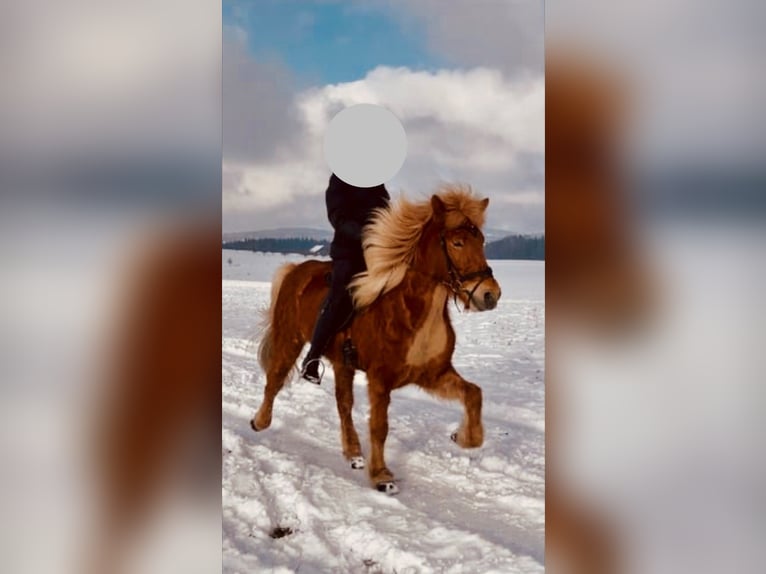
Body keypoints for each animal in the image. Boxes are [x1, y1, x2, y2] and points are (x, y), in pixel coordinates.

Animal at [252, 185, 502, 494]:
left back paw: (353, 453)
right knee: (275, 380)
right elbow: (380, 426)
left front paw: (463, 437)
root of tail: (296, 270)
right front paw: (382, 477)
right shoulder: (380, 379)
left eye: (481, 241)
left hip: (342, 364)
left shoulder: (433, 374)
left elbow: (473, 393)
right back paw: (260, 422)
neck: (412, 311)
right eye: (457, 242)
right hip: (290, 339)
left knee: (343, 404)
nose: (490, 295)